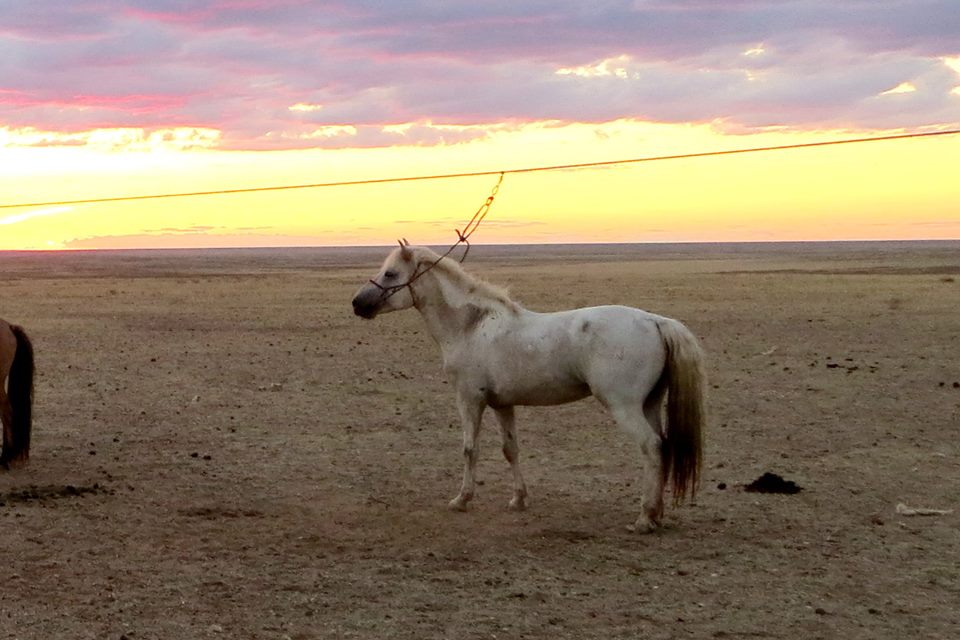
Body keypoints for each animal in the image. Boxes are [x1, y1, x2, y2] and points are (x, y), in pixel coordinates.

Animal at [351, 241, 706, 532]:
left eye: (390, 274)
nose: (357, 304)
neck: (470, 327)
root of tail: (656, 321)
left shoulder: (469, 400)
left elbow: (470, 449)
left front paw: (462, 499)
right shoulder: (502, 405)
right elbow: (511, 450)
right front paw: (519, 499)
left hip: (624, 407)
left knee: (651, 447)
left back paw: (645, 517)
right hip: (649, 405)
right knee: (663, 446)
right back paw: (657, 514)